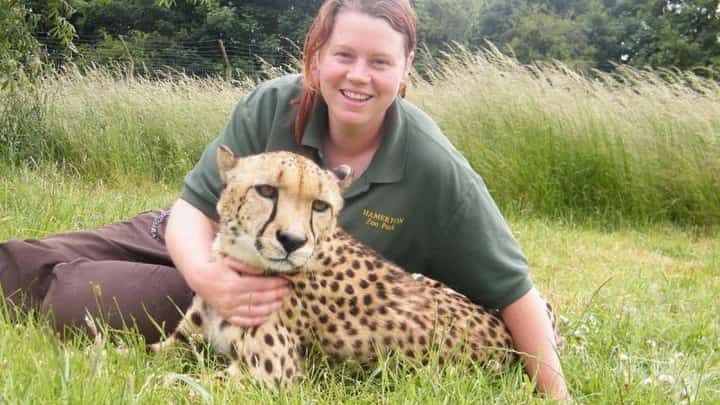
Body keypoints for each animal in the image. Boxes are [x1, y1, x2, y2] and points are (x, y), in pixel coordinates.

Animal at [150, 146, 561, 390]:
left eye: (320, 206)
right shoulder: (183, 341)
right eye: (266, 191)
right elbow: (147, 353)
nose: (292, 241)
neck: (240, 259)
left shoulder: (267, 376)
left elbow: (175, 383)